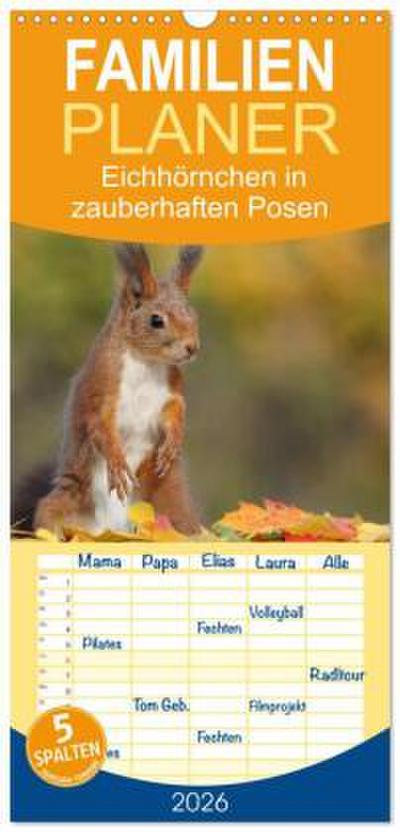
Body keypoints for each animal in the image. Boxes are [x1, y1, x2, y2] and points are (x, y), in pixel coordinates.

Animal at [34, 243, 203, 537]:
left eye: (192, 313)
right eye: (156, 320)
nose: (192, 347)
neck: (147, 362)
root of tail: (111, 530)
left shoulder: (170, 392)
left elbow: (175, 411)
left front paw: (173, 442)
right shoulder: (101, 387)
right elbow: (100, 425)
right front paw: (116, 461)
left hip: (171, 502)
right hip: (67, 503)